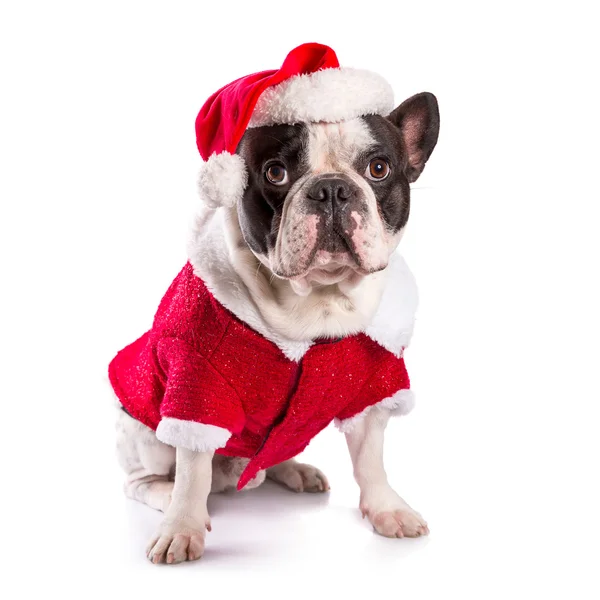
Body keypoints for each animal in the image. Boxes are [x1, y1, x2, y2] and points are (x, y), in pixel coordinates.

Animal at [109, 44, 440, 564]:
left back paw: (295, 469)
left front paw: (387, 508)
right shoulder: (198, 382)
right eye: (276, 173)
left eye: (379, 169)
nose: (331, 188)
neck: (319, 302)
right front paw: (181, 527)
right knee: (148, 477)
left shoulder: (374, 383)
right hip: (143, 433)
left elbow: (371, 459)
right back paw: (167, 494)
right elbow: (193, 467)